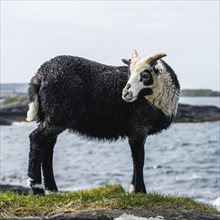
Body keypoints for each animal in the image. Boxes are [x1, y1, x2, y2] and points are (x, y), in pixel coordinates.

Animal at [26, 49, 180, 194]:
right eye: (129, 73)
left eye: (146, 75)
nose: (125, 93)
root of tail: (40, 73)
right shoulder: (138, 126)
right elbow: (139, 159)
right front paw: (140, 191)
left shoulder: (139, 130)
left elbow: (136, 158)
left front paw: (133, 190)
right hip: (60, 114)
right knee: (37, 138)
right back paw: (37, 188)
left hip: (51, 116)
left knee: (48, 146)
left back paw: (51, 189)